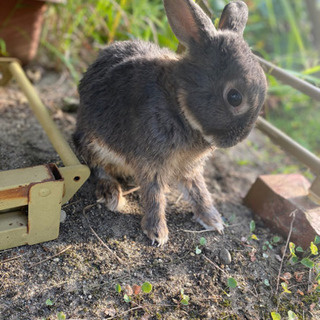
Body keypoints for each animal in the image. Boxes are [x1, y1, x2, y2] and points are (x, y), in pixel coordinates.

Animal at [73, 0, 268, 245]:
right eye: (234, 97)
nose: (236, 140)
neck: (178, 104)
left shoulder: (190, 167)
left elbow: (198, 190)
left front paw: (213, 220)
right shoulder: (151, 161)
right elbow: (154, 193)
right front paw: (158, 232)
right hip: (92, 141)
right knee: (96, 165)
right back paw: (111, 194)